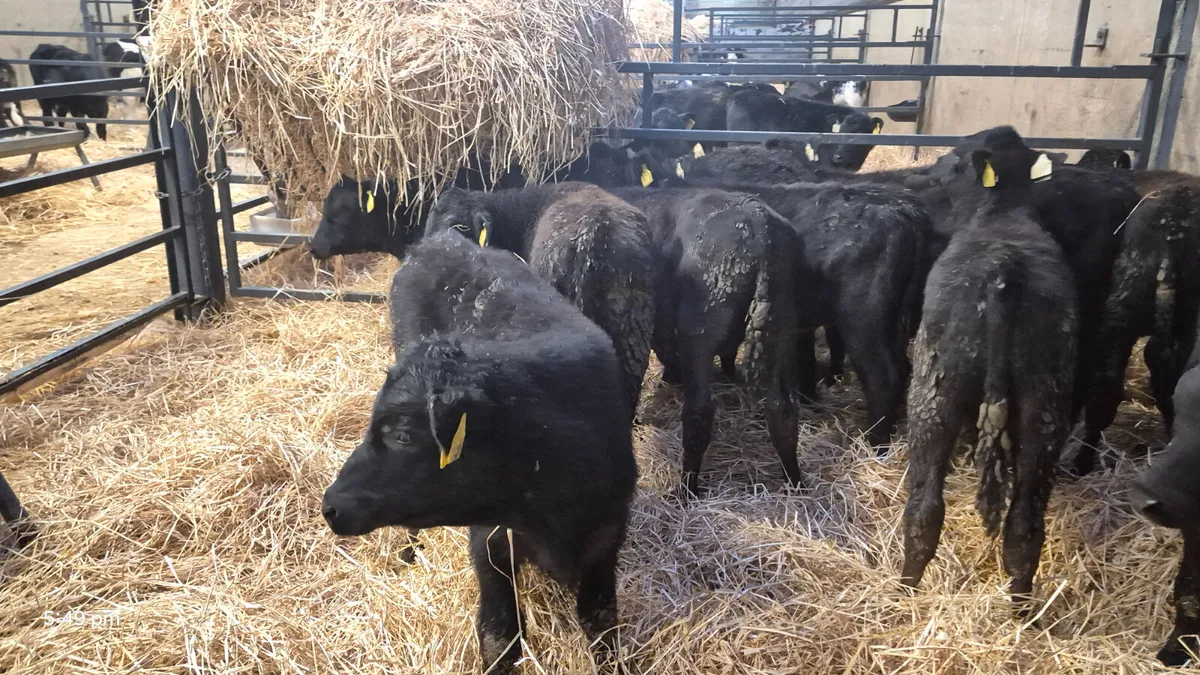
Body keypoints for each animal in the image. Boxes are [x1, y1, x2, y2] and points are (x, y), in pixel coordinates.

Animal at [322, 232, 636, 674]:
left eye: (403, 435)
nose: (330, 506)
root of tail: (443, 240)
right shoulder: (489, 545)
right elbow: (500, 635)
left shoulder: (605, 543)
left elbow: (604, 630)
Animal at [608, 187, 802, 495]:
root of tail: (760, 228)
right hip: (779, 324)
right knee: (782, 409)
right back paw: (794, 481)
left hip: (699, 330)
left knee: (698, 412)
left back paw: (687, 488)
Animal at [901, 128, 1078, 617]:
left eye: (954, 160)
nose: (927, 173)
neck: (1002, 212)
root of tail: (1005, 271)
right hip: (1045, 400)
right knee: (1025, 521)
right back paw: (1020, 613)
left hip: (935, 391)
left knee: (924, 508)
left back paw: (903, 591)